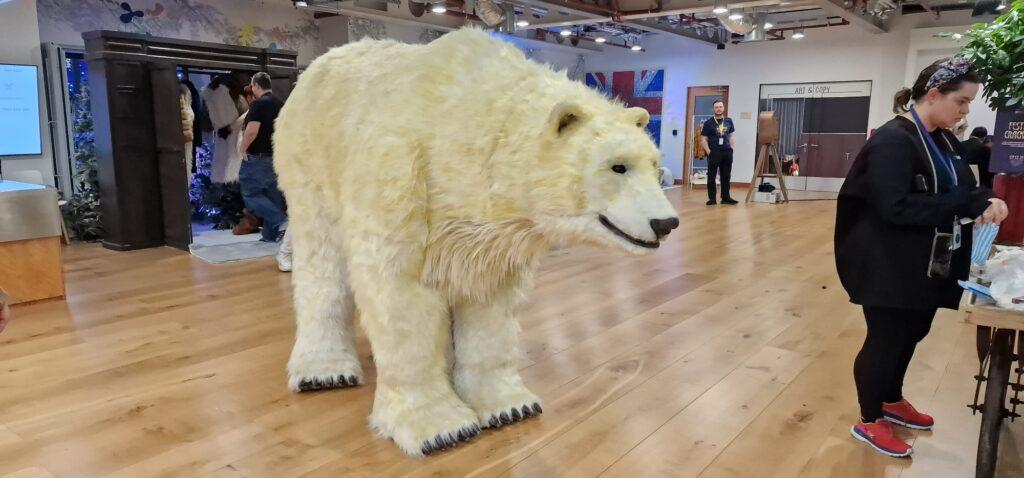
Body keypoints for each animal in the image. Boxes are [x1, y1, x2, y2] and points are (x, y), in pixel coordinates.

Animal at [273, 28, 680, 457]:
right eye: (617, 166)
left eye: (654, 164)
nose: (666, 223)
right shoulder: (401, 176)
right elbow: (401, 297)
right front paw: (439, 427)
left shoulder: (488, 233)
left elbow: (489, 306)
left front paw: (509, 406)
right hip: (310, 166)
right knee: (322, 264)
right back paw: (323, 371)